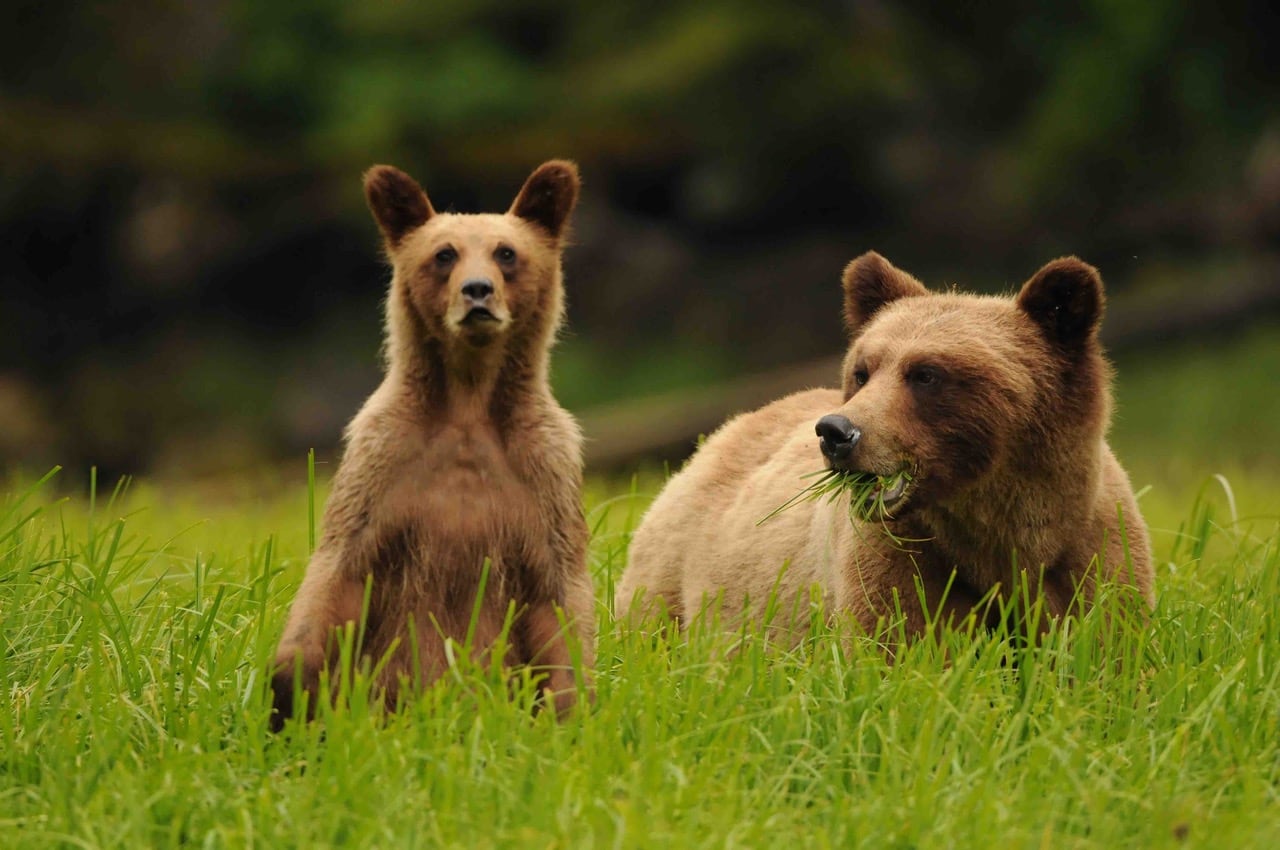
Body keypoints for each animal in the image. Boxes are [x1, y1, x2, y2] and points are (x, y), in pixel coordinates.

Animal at [270, 160, 595, 729]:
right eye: (444, 254)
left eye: (506, 252)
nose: (478, 291)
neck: (468, 403)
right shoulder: (384, 466)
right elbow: (336, 576)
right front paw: (290, 696)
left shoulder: (543, 478)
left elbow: (561, 604)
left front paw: (569, 709)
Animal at [616, 251, 1153, 639]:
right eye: (862, 370)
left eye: (926, 373)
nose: (836, 432)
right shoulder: (901, 562)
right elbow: (901, 647)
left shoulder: (1092, 555)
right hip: (673, 576)